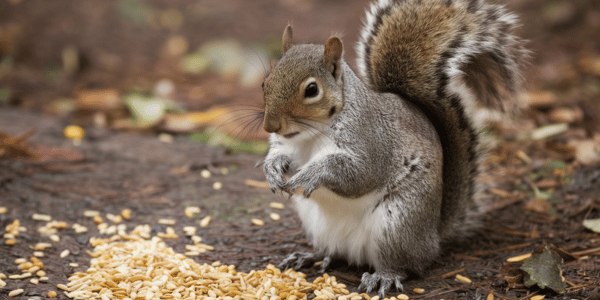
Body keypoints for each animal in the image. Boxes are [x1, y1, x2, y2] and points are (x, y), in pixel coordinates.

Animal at [262, 0, 524, 296]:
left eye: (311, 90)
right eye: (265, 82)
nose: (270, 125)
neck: (310, 134)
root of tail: (433, 237)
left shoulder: (372, 141)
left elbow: (359, 174)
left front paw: (310, 175)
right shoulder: (288, 145)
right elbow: (281, 155)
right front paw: (272, 170)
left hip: (397, 223)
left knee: (405, 264)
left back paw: (383, 276)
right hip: (317, 224)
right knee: (334, 252)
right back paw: (311, 256)